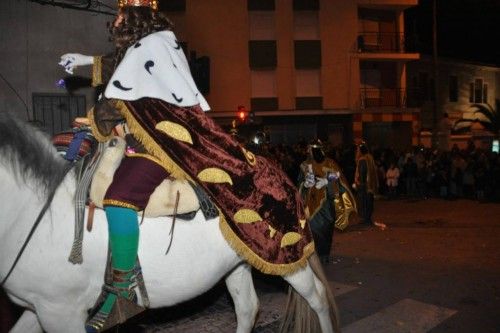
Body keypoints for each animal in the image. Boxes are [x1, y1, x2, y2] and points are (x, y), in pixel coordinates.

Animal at [0, 113, 340, 330]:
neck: (38, 214)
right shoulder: (39, 308)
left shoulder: (62, 311)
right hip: (239, 261)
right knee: (247, 308)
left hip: (288, 260)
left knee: (318, 299)